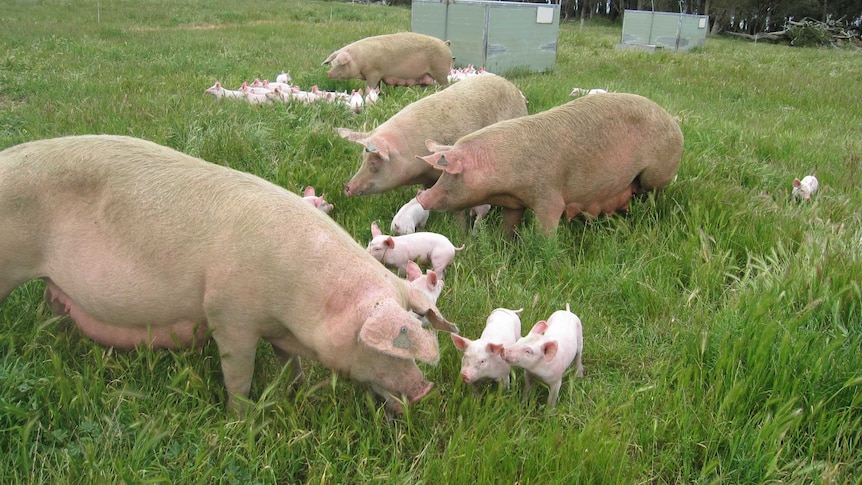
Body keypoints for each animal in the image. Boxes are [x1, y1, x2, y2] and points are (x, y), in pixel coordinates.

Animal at [0, 135, 462, 412]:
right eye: (388, 343)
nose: (425, 389)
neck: (301, 304)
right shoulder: (230, 316)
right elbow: (238, 373)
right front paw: (241, 417)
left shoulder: (281, 332)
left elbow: (290, 364)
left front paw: (296, 392)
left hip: (52, 285)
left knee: (52, 305)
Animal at [324, 31, 456, 90]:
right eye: (332, 63)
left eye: (341, 64)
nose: (328, 73)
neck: (360, 59)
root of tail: (445, 44)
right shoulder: (377, 75)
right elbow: (377, 87)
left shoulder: (374, 72)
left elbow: (371, 86)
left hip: (441, 71)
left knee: (444, 84)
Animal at [416, 93, 684, 236]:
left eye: (451, 174)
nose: (422, 197)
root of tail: (672, 119)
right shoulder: (514, 203)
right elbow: (509, 226)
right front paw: (504, 243)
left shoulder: (548, 196)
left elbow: (547, 229)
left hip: (657, 172)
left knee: (654, 194)